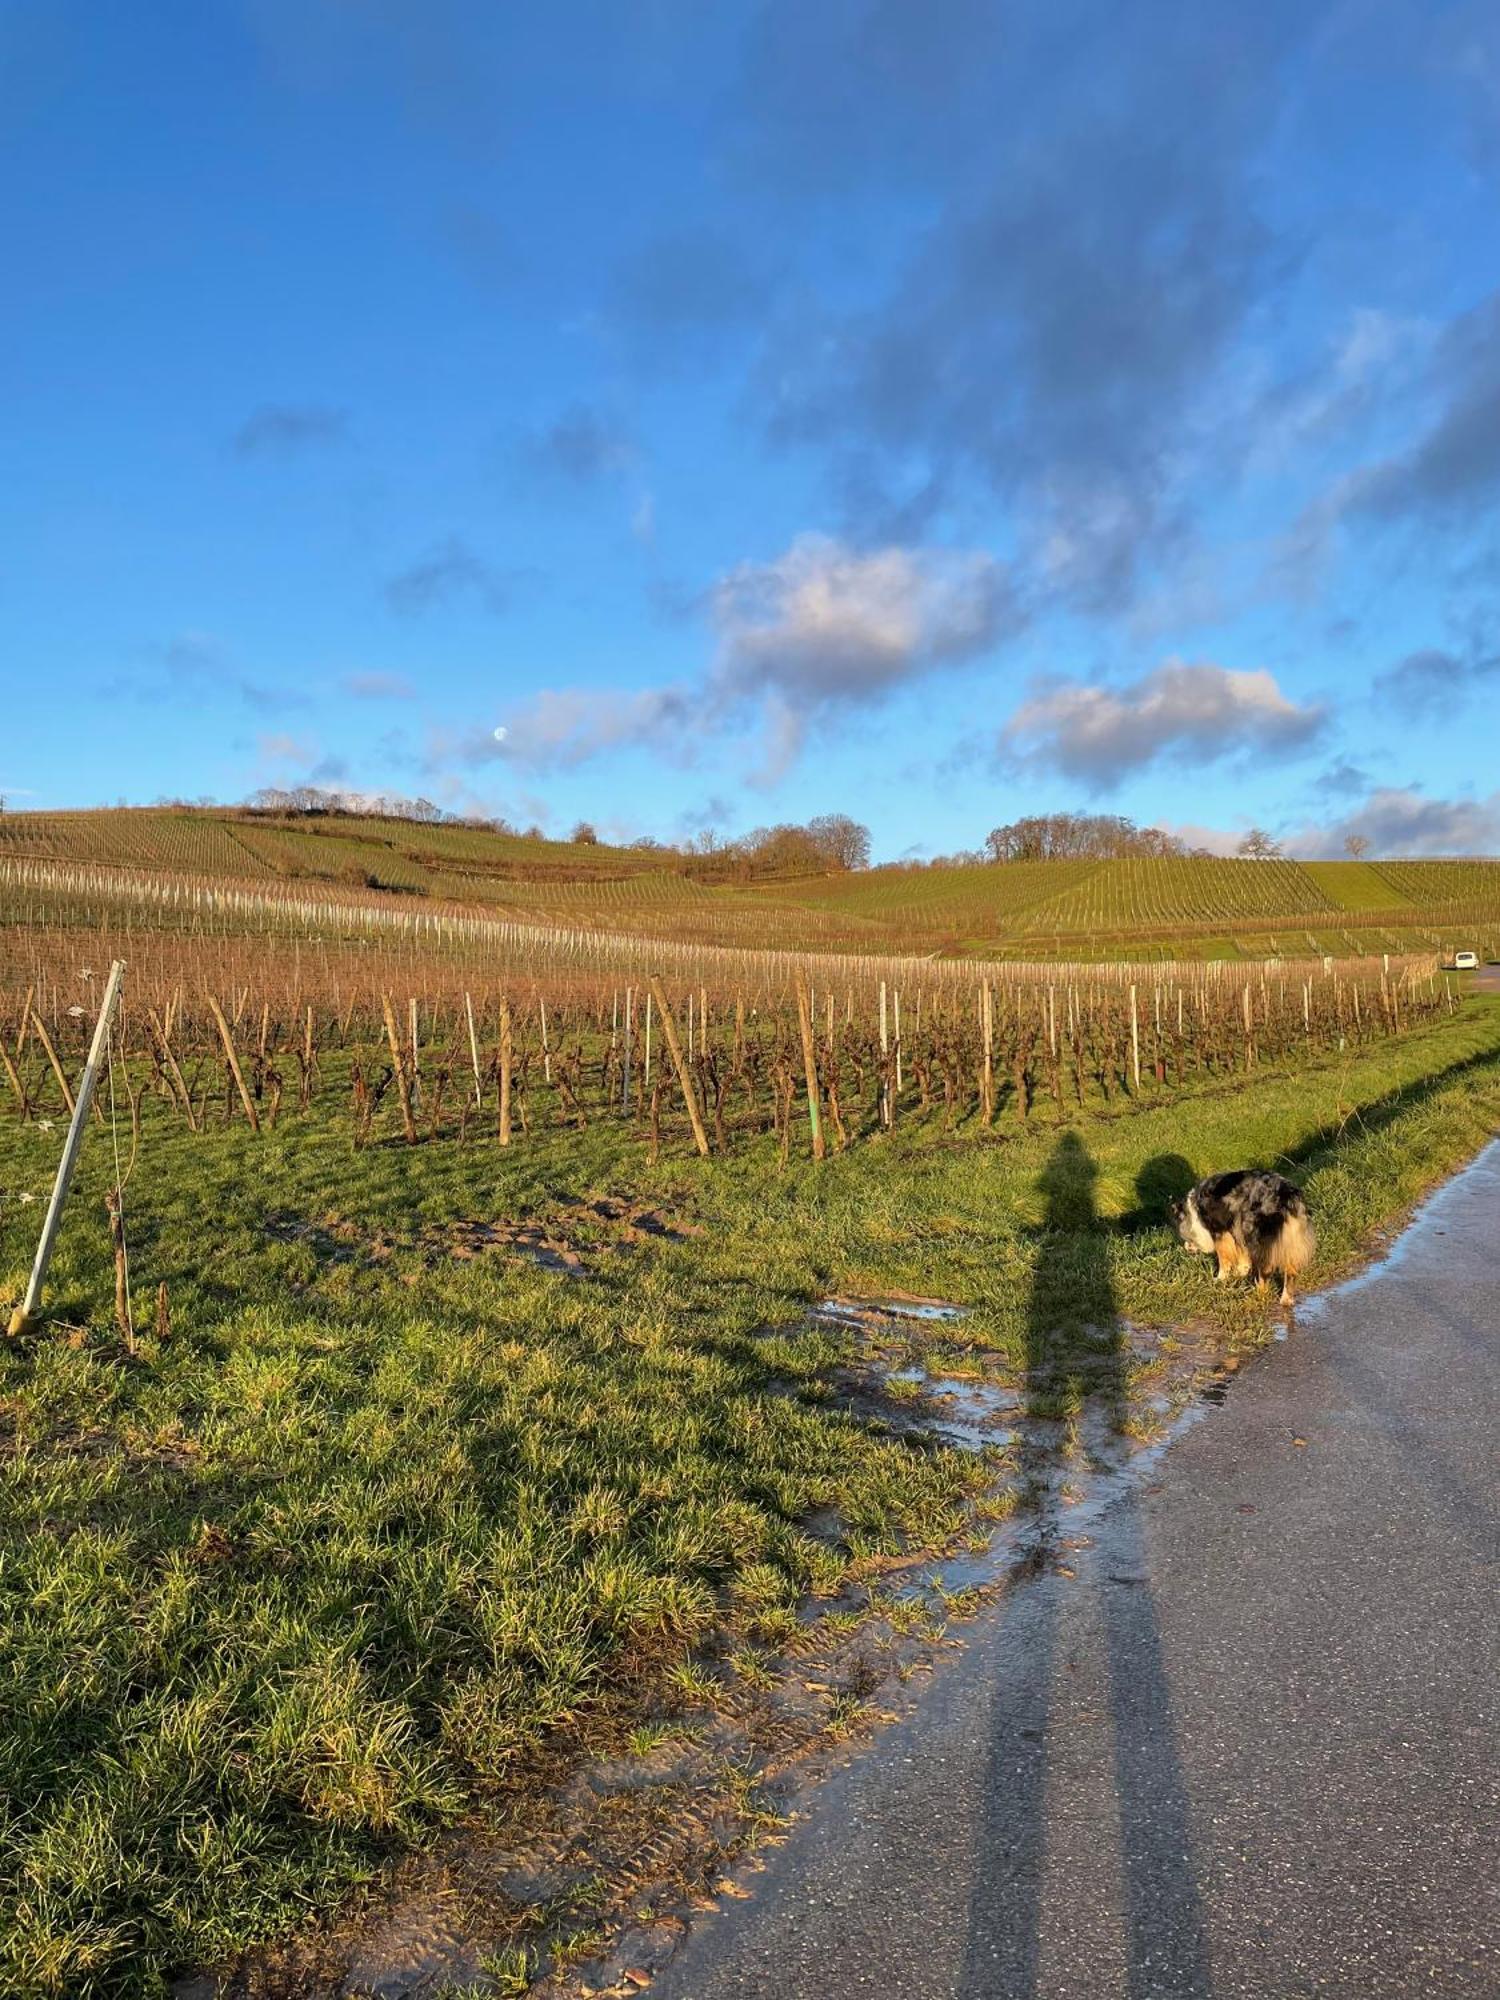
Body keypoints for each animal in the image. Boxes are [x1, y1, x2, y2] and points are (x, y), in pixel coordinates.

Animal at [1176, 1168, 1312, 1312]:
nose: (1186, 1248)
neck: (1195, 1211)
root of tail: (1286, 1194)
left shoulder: (1220, 1231)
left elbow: (1223, 1257)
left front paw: (1220, 1279)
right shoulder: (1236, 1228)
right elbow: (1241, 1253)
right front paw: (1240, 1272)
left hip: (1256, 1233)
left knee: (1266, 1269)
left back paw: (1258, 1293)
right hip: (1290, 1238)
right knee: (1291, 1271)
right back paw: (1286, 1300)